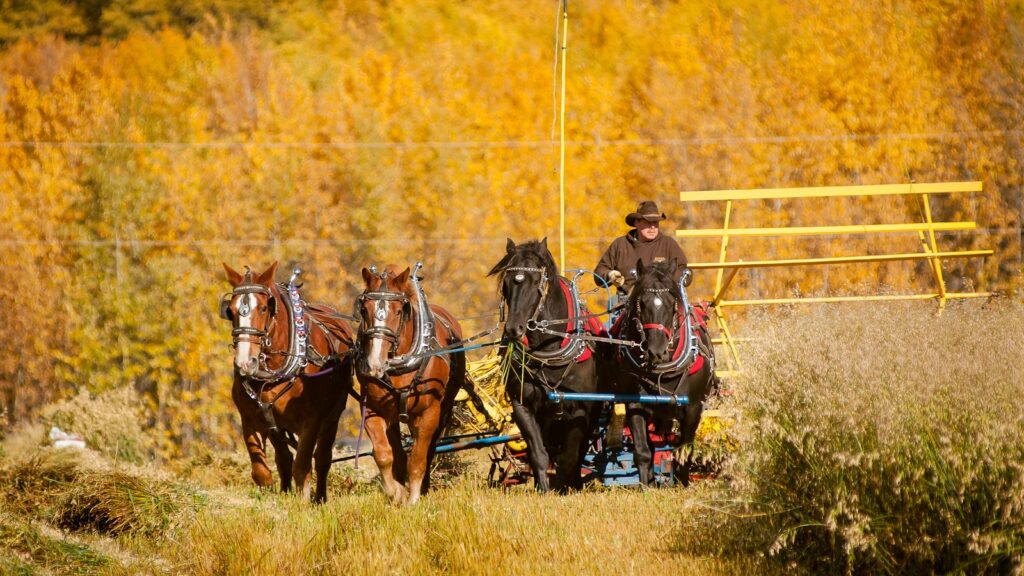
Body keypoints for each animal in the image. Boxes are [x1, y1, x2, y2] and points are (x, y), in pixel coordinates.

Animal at [220, 262, 356, 503]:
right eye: (232, 310)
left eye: (264, 308)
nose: (245, 362)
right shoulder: (252, 419)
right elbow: (263, 470)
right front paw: (277, 495)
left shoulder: (311, 421)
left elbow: (302, 466)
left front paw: (302, 501)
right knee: (284, 458)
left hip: (332, 417)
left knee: (322, 458)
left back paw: (320, 497)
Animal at [353, 263, 466, 505]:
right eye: (364, 309)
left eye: (398, 311)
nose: (374, 364)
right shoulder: (372, 409)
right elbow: (383, 453)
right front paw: (395, 492)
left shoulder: (429, 412)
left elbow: (418, 458)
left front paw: (413, 499)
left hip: (442, 409)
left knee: (428, 449)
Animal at [488, 238, 608, 493]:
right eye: (507, 282)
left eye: (536, 282)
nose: (513, 328)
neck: (547, 351)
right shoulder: (522, 406)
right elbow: (539, 454)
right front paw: (543, 488)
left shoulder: (581, 410)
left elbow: (570, 457)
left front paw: (566, 488)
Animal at [611, 258, 717, 486]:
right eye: (641, 303)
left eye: (672, 304)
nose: (656, 351)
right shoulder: (634, 404)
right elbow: (643, 450)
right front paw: (646, 486)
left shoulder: (694, 407)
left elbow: (684, 449)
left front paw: (683, 483)